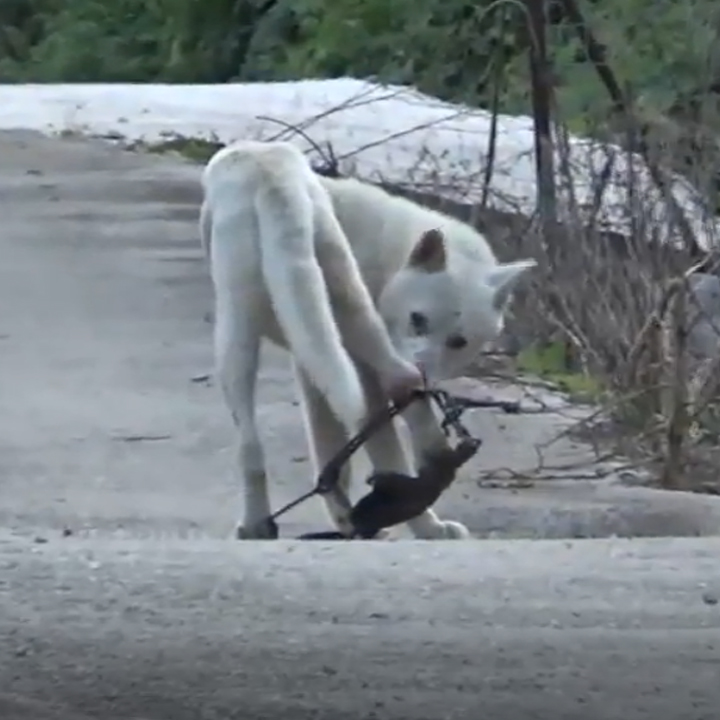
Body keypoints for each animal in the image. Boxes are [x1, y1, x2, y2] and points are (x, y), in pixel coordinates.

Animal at [200, 141, 536, 536]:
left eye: (458, 342)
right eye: (417, 319)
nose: (425, 369)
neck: (391, 259)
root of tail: (272, 170)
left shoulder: (329, 367)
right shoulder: (324, 364)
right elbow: (338, 448)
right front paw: (344, 514)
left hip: (238, 333)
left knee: (251, 445)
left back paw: (257, 524)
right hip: (346, 297)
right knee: (399, 383)